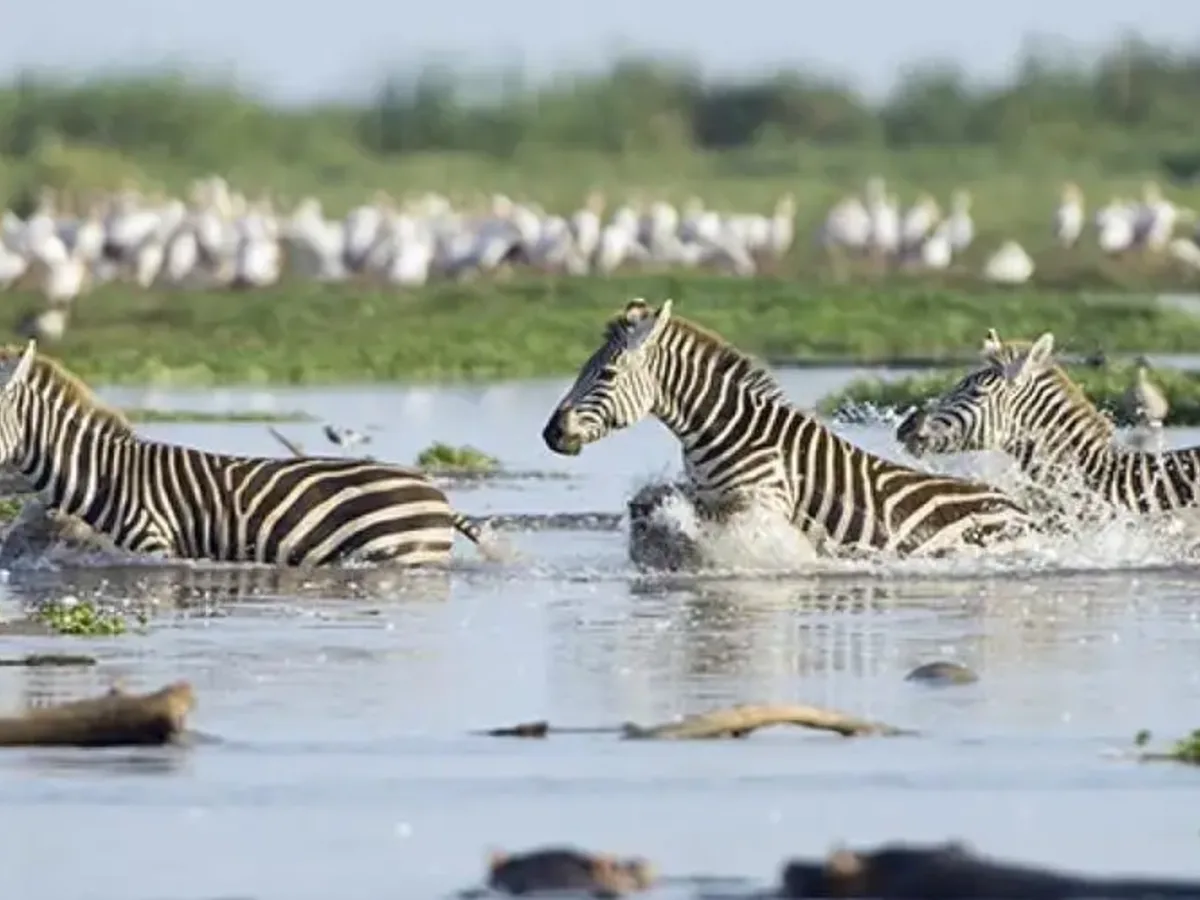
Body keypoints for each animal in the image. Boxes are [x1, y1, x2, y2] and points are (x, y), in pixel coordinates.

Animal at [540, 298, 1032, 557]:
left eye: (606, 375)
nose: (551, 433)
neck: (723, 433)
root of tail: (1020, 508)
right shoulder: (708, 497)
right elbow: (655, 502)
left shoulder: (760, 506)